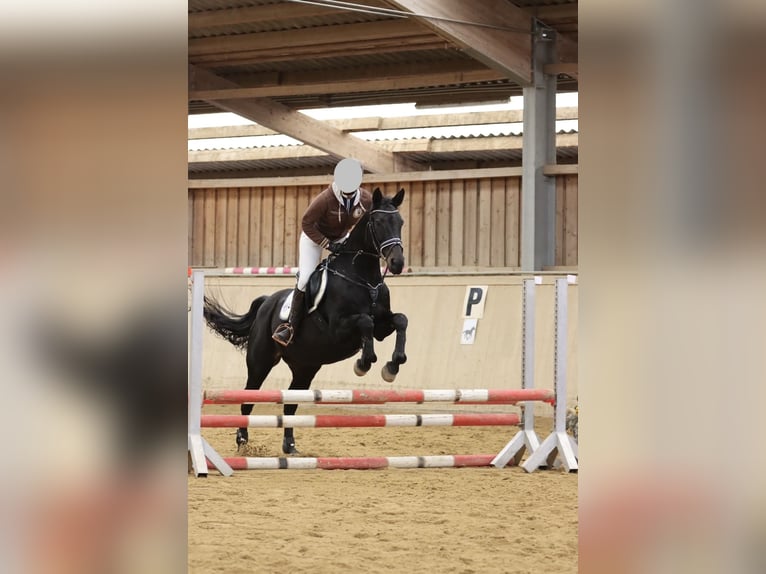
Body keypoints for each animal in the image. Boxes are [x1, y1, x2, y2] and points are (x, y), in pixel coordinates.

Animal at [202, 188, 408, 454]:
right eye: (379, 221)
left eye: (400, 222)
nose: (397, 263)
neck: (363, 278)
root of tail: (267, 302)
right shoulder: (339, 329)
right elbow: (365, 322)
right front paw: (363, 363)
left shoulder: (383, 327)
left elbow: (400, 320)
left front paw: (392, 367)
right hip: (260, 362)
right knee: (248, 398)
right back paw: (243, 443)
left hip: (305, 367)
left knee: (290, 405)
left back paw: (290, 446)